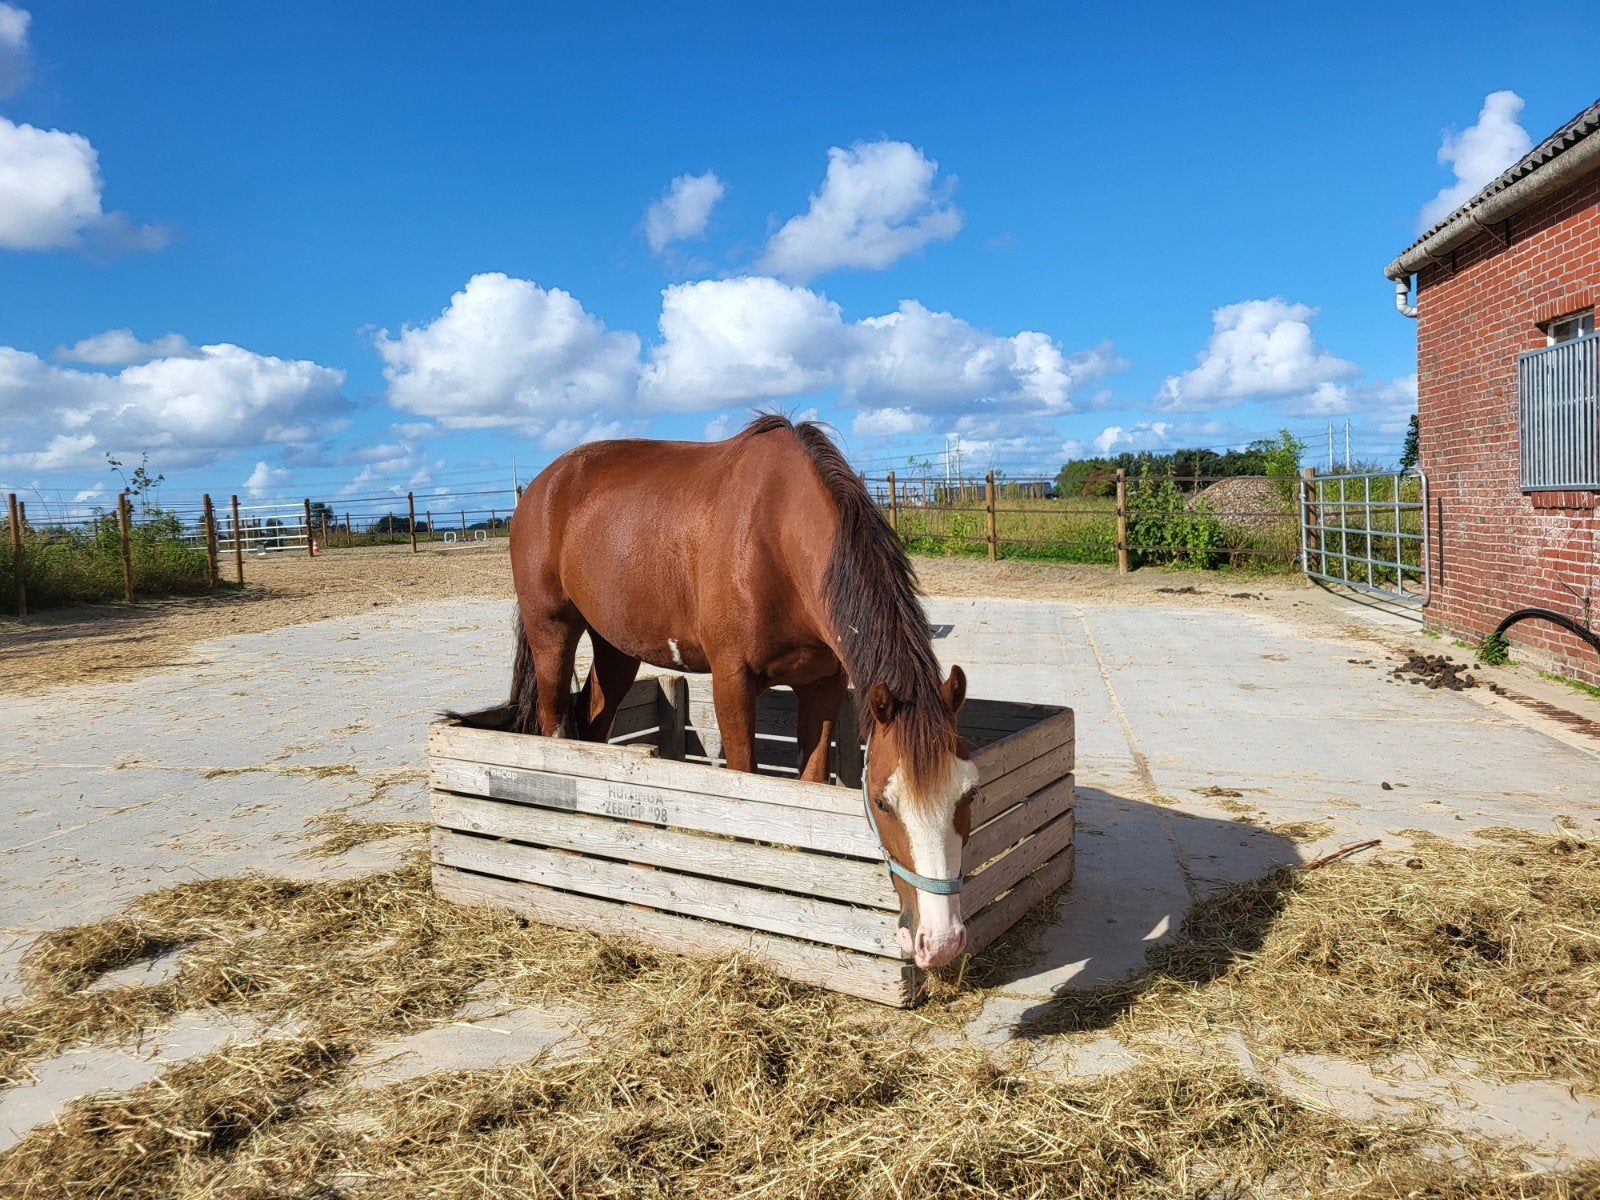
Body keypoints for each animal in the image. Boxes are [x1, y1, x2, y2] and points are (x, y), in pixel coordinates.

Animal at [505, 414, 977, 970]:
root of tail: (541, 486)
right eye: (883, 803)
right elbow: (744, 783)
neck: (773, 537)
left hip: (616, 646)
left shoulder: (822, 686)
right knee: (555, 729)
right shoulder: (733, 683)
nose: (940, 941)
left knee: (594, 729)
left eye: (970, 792)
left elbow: (807, 783)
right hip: (551, 634)